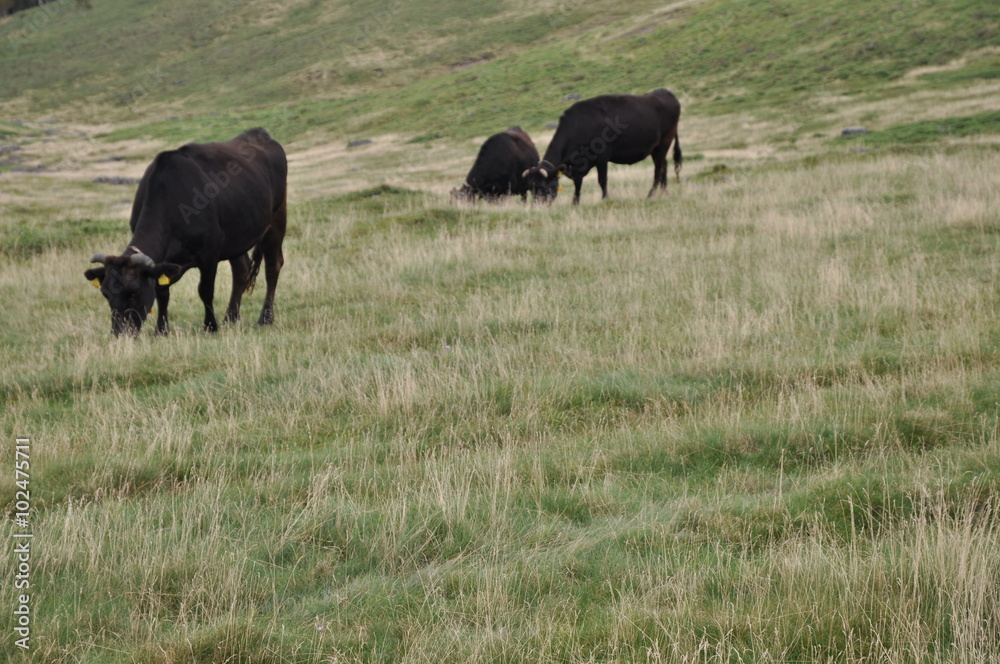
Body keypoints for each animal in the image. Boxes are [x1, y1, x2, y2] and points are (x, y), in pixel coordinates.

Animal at [83, 128, 288, 338]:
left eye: (133, 292)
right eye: (105, 293)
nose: (120, 333)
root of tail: (259, 133)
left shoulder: (209, 254)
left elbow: (205, 290)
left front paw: (210, 326)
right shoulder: (163, 264)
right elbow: (162, 293)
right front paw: (161, 330)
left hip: (276, 218)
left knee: (272, 267)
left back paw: (265, 318)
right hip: (236, 236)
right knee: (242, 269)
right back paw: (230, 317)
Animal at [524, 88, 680, 204]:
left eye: (542, 186)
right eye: (531, 188)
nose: (537, 206)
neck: (578, 125)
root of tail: (666, 93)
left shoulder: (602, 158)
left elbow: (602, 180)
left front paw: (605, 199)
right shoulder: (579, 165)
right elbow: (578, 183)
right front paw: (575, 202)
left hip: (664, 142)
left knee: (658, 169)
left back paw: (651, 194)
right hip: (657, 148)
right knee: (664, 165)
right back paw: (664, 192)